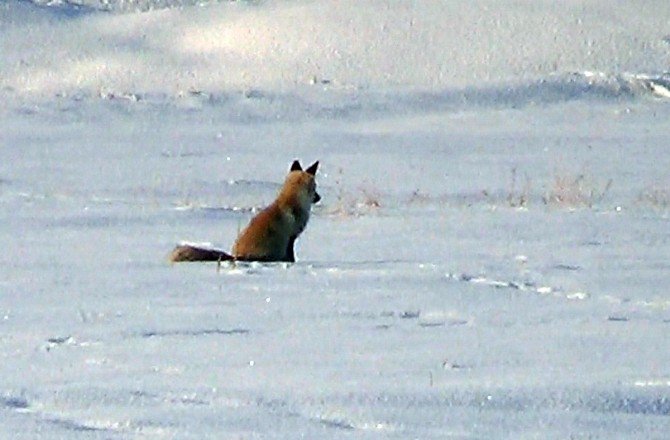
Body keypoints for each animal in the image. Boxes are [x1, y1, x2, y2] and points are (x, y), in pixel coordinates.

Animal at [171, 162, 322, 264]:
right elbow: (291, 256)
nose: (319, 197)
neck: (291, 202)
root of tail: (236, 257)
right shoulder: (291, 238)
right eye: (315, 188)